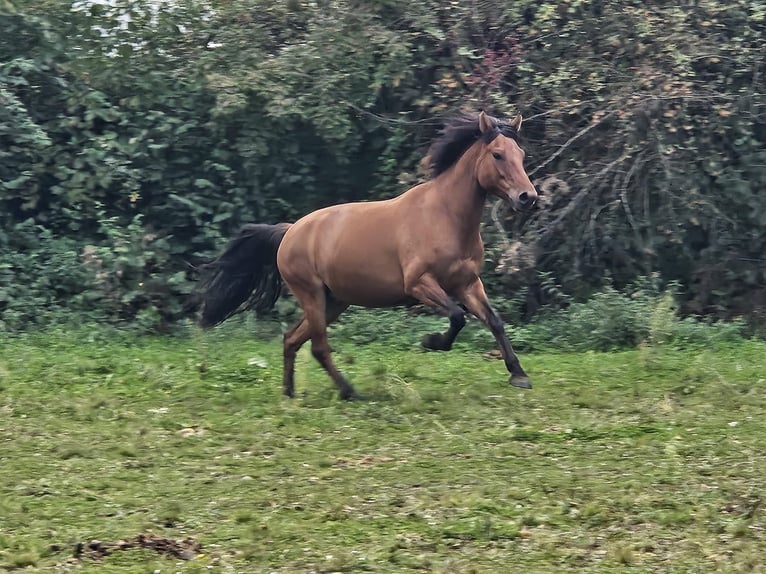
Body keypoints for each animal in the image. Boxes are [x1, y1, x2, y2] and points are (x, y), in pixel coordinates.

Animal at [198, 111, 540, 400]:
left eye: (521, 155)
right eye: (497, 154)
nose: (528, 197)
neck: (444, 216)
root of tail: (290, 230)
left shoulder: (467, 284)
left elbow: (495, 321)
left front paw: (519, 375)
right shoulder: (420, 284)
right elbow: (457, 317)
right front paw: (431, 341)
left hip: (333, 301)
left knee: (292, 339)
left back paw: (290, 392)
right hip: (311, 295)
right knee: (318, 346)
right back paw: (349, 391)